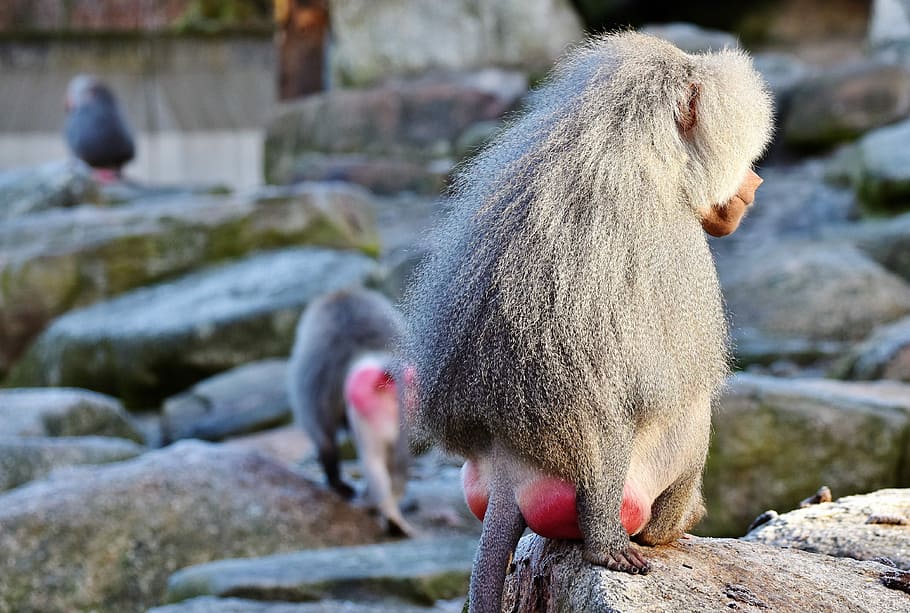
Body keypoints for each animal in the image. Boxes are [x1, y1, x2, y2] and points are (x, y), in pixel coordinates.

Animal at [287, 287, 415, 536]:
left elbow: (324, 439)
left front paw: (337, 483)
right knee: (393, 467)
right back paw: (393, 516)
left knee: (373, 463)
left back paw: (377, 506)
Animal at [402, 32, 773, 612]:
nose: (754, 184)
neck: (626, 138)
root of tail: (509, 464)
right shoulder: (674, 239)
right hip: (636, 479)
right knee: (688, 410)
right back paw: (659, 529)